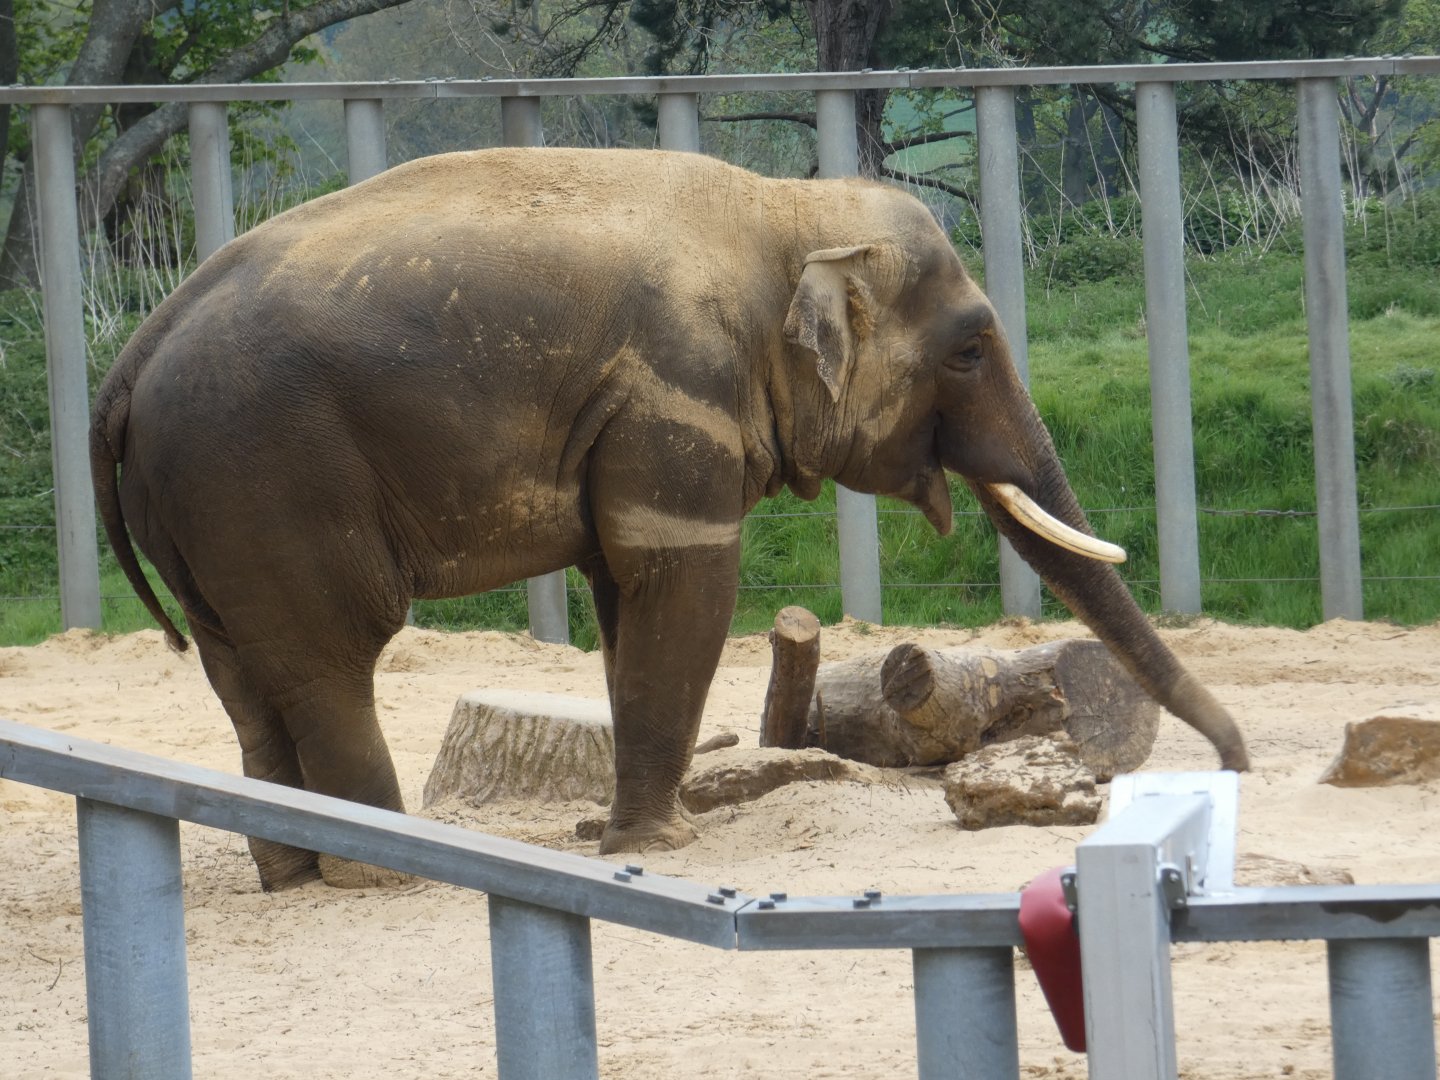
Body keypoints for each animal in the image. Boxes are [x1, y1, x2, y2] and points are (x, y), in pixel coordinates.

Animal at [91, 147, 1248, 890]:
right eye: (969, 349)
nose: (1238, 763)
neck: (785, 212)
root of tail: (132, 359)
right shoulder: (676, 396)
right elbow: (685, 588)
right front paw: (663, 848)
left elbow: (623, 600)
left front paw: (634, 829)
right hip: (265, 482)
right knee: (331, 665)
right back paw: (386, 875)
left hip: (200, 514)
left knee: (247, 677)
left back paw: (292, 875)